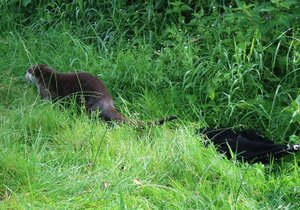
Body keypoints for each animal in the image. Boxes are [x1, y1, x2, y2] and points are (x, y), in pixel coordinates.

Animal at [25, 64, 176, 125]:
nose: (24, 75)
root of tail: (107, 101)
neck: (46, 78)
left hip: (88, 104)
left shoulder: (46, 92)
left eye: (28, 70)